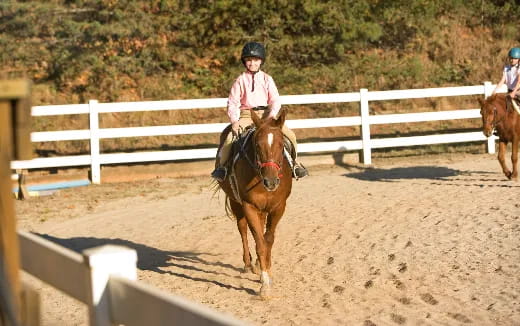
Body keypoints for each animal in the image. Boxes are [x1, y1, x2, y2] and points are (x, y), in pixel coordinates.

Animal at [215, 107, 292, 298]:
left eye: (281, 144)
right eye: (257, 145)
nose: (271, 182)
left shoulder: (278, 207)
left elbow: (268, 240)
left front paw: (267, 269)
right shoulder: (248, 206)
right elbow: (259, 243)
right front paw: (265, 285)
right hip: (236, 203)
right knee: (243, 230)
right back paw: (248, 264)